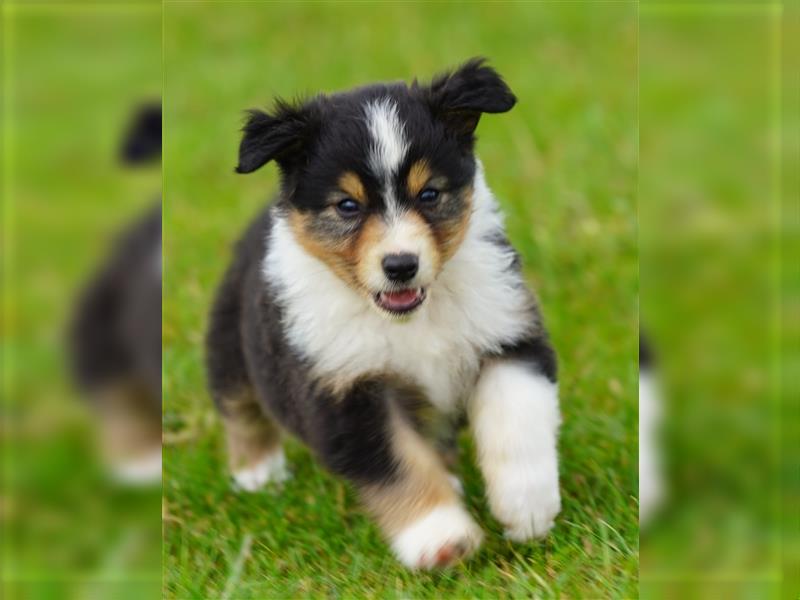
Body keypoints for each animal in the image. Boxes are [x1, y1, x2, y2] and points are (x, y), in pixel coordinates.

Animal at [205, 58, 564, 568]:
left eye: (429, 194)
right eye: (347, 205)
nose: (400, 265)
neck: (413, 318)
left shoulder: (508, 332)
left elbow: (517, 419)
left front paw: (527, 507)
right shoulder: (344, 390)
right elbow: (398, 464)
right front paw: (440, 537)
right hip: (229, 342)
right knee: (238, 404)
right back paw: (258, 472)